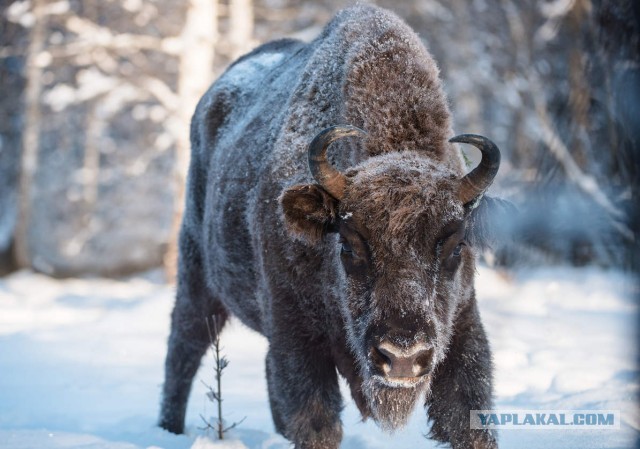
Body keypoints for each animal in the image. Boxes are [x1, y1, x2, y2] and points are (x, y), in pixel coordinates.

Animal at [160, 4, 504, 448]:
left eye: (455, 245)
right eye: (349, 245)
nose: (402, 357)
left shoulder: (461, 328)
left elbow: (465, 419)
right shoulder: (297, 340)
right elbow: (317, 422)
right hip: (197, 280)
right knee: (183, 352)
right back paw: (167, 428)